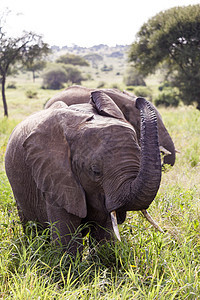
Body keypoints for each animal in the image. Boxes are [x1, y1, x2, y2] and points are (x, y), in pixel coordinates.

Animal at [5, 90, 162, 256]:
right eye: (95, 171)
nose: (138, 100)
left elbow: (103, 236)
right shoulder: (56, 178)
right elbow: (67, 243)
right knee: (32, 228)